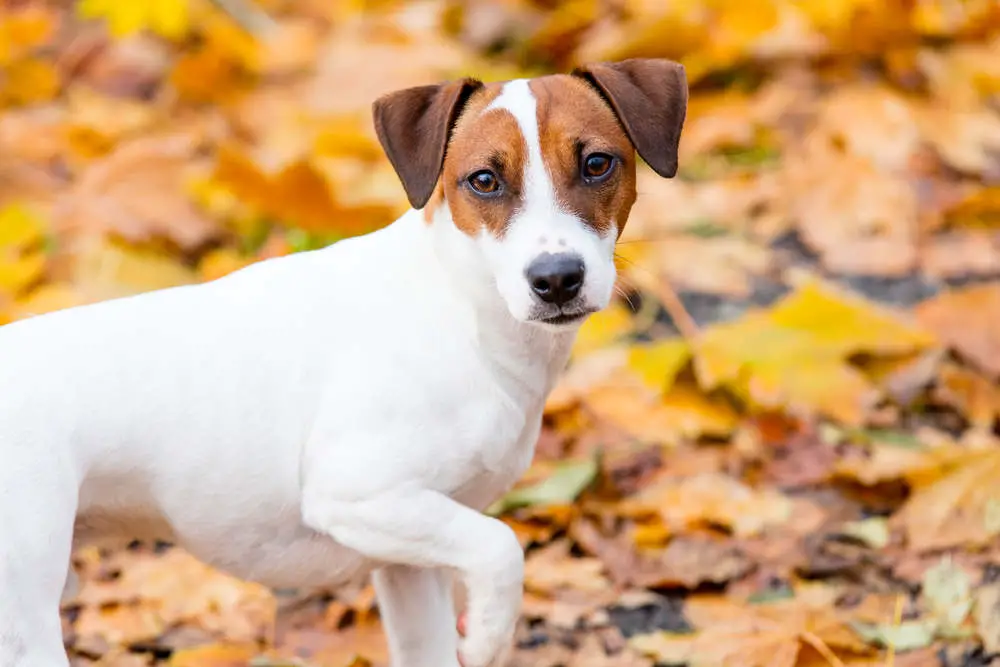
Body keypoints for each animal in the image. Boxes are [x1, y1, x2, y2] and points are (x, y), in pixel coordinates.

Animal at [0, 58, 688, 667]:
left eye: (597, 164)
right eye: (484, 181)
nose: (557, 279)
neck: (461, 305)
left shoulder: (410, 558)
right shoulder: (357, 494)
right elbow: (502, 547)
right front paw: (490, 637)